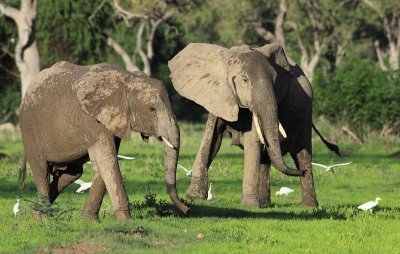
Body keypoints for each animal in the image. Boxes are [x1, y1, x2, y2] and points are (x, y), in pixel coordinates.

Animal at [17, 61, 189, 220]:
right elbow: (107, 159)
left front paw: (89, 221)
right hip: (29, 128)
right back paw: (44, 219)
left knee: (72, 173)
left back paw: (36, 212)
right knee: (42, 171)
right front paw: (126, 221)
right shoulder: (91, 118)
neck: (127, 80)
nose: (187, 210)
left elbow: (103, 163)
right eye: (151, 109)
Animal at [167, 42, 346, 207]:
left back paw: (308, 205)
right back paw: (265, 204)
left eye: (275, 81)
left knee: (302, 154)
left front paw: (249, 205)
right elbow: (212, 139)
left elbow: (251, 142)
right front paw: (194, 196)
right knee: (267, 156)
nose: (301, 172)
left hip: (305, 111)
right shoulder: (219, 96)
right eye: (245, 79)